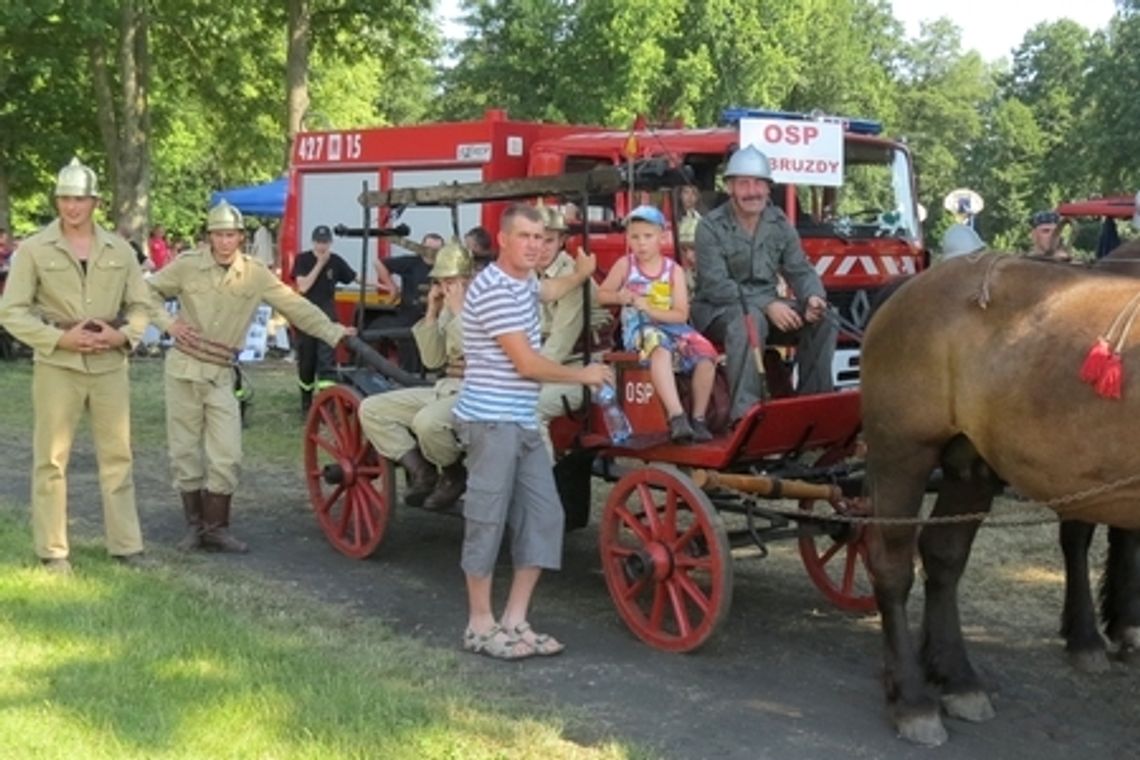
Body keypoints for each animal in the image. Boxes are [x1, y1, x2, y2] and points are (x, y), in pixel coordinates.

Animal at [857, 252, 1140, 747]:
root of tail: (909, 285)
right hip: (901, 454)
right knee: (891, 567)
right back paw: (912, 699)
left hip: (969, 464)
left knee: (943, 558)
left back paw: (957, 678)